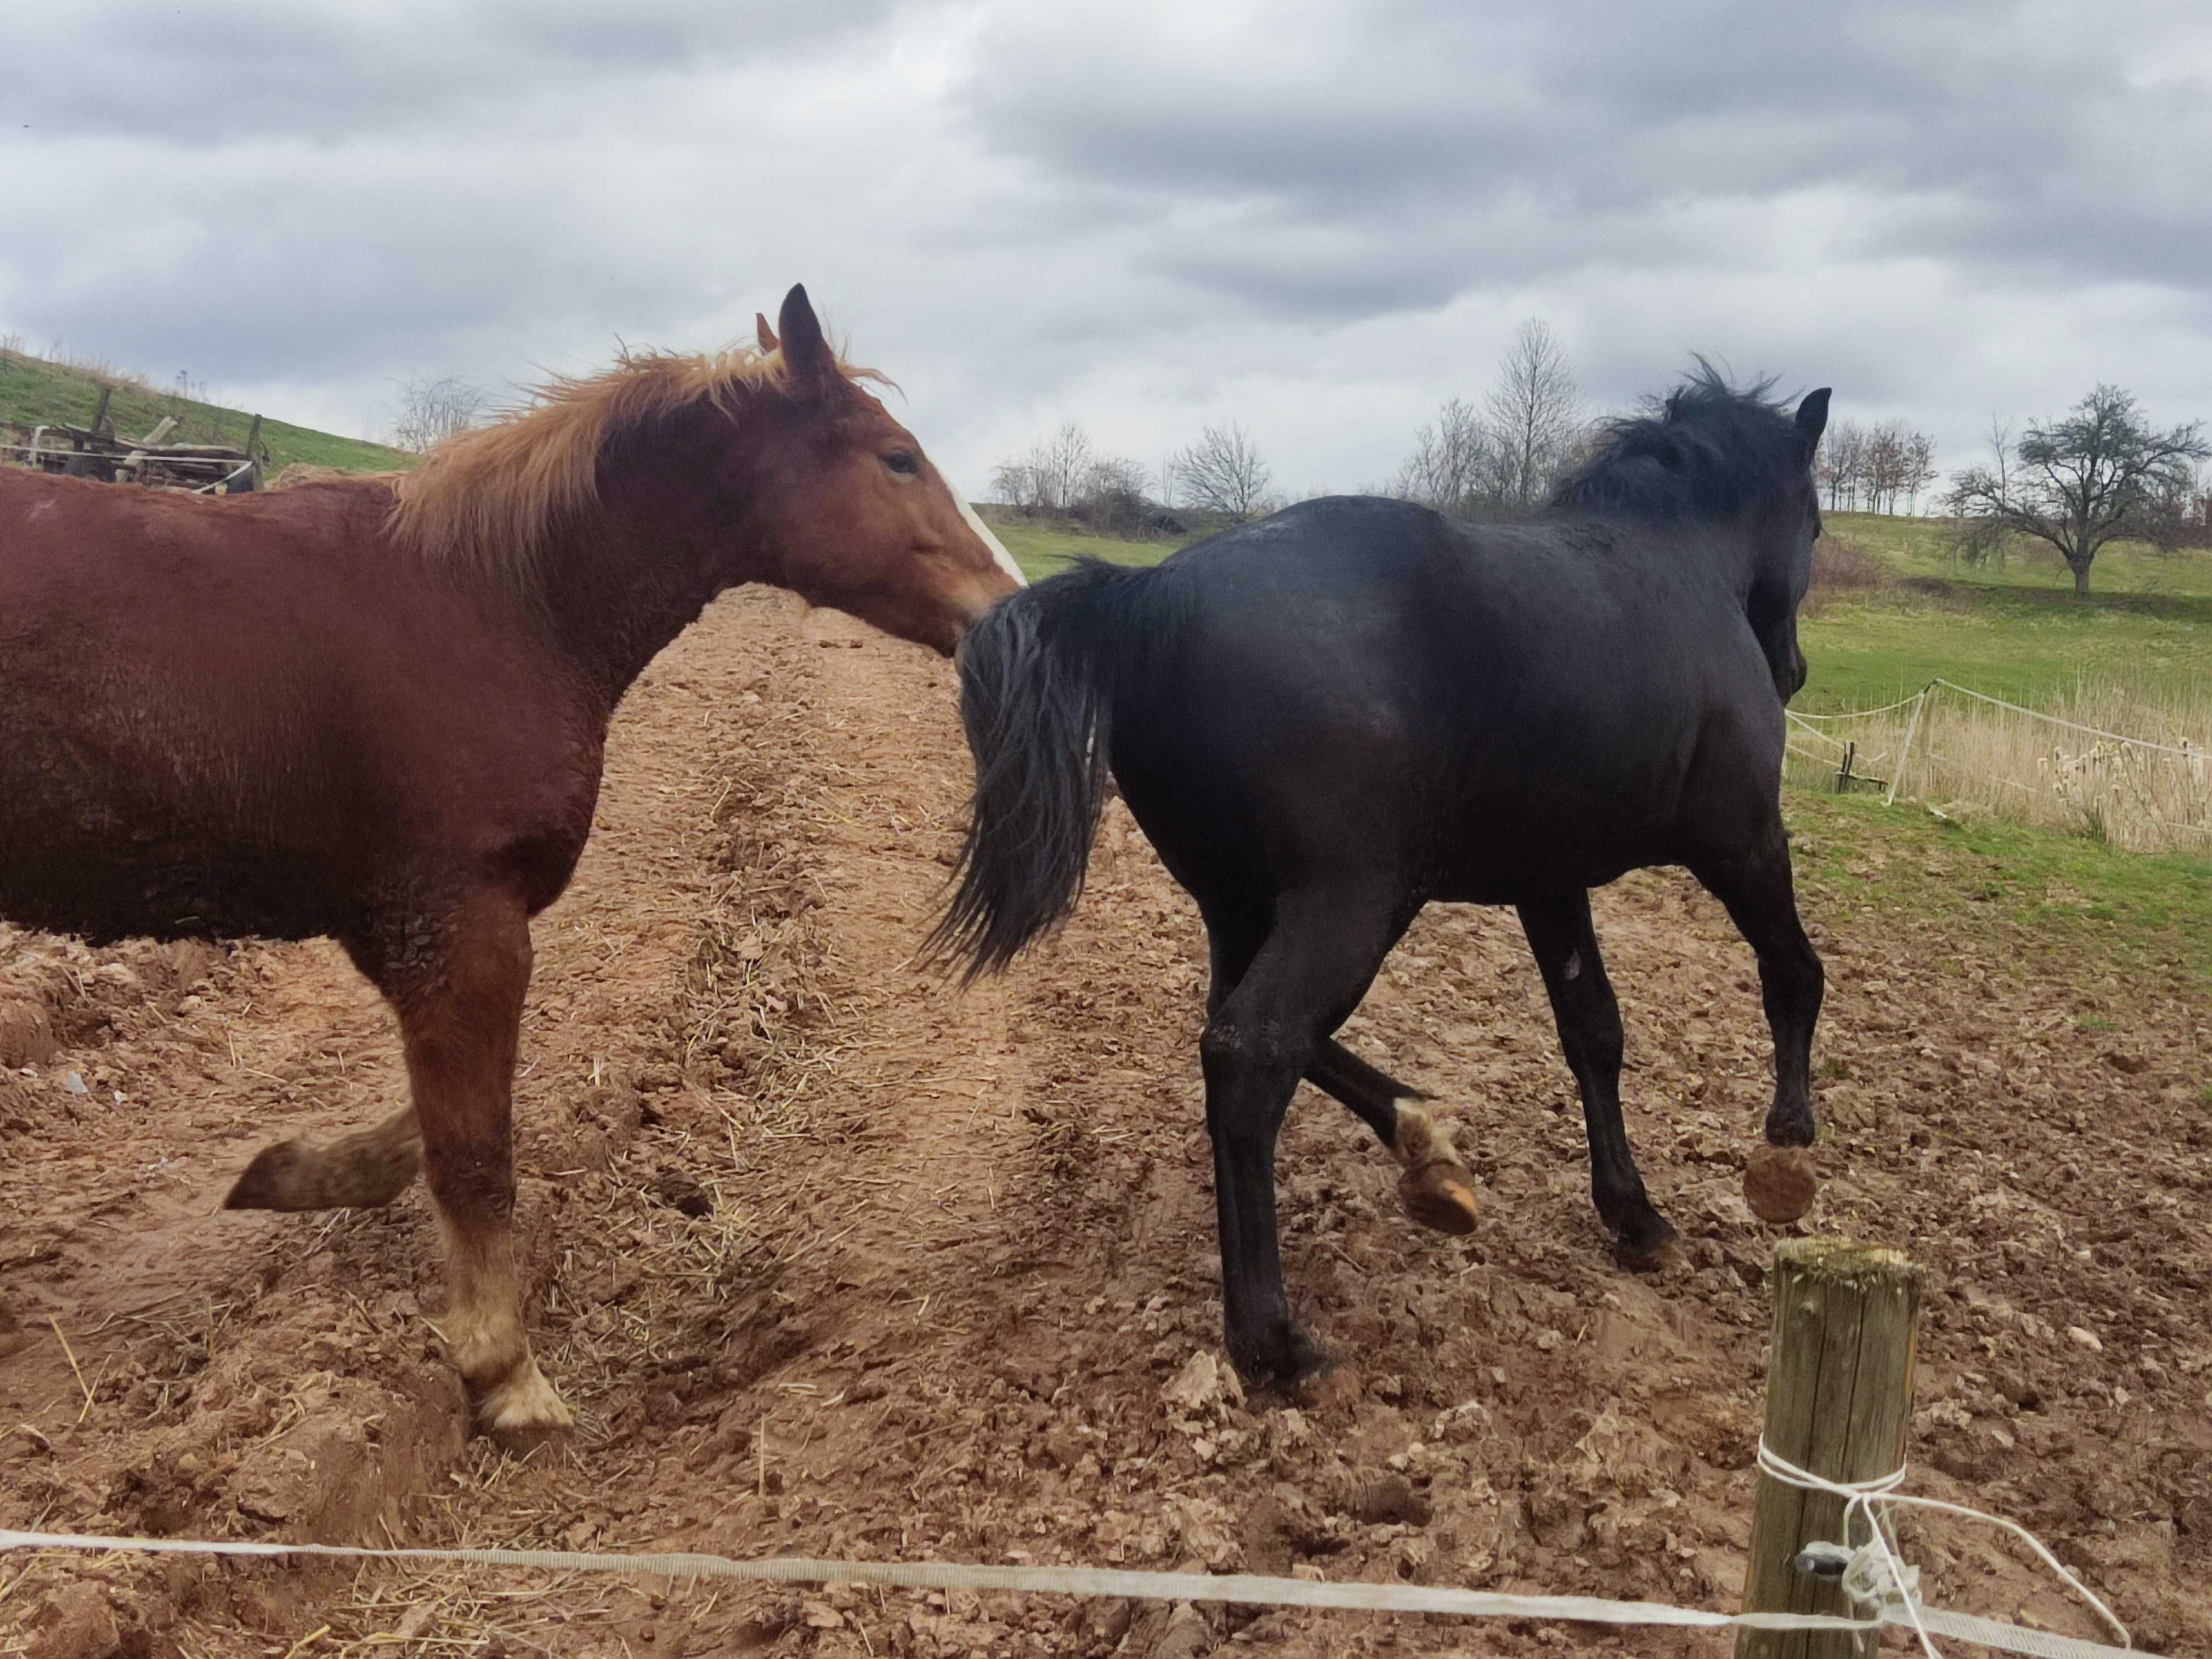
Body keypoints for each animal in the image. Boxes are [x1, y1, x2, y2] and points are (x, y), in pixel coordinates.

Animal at [0, 290, 1018, 1442]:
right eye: (897, 458)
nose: (1009, 604)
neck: (499, 602)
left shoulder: (418, 930)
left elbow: (442, 1125)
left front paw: (295, 1174)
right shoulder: (464, 923)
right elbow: (478, 1153)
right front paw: (505, 1372)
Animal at [947, 369, 1832, 1380]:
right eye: (1816, 525)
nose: (1795, 671)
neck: (1679, 566)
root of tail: (1150, 595)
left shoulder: (1549, 881)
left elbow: (1594, 1031)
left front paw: (1634, 1215)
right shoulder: (1744, 842)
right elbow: (1794, 974)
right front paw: (1786, 1156)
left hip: (1245, 905)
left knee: (1237, 1029)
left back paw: (1426, 1153)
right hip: (1355, 904)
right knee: (1253, 1050)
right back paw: (1274, 1341)